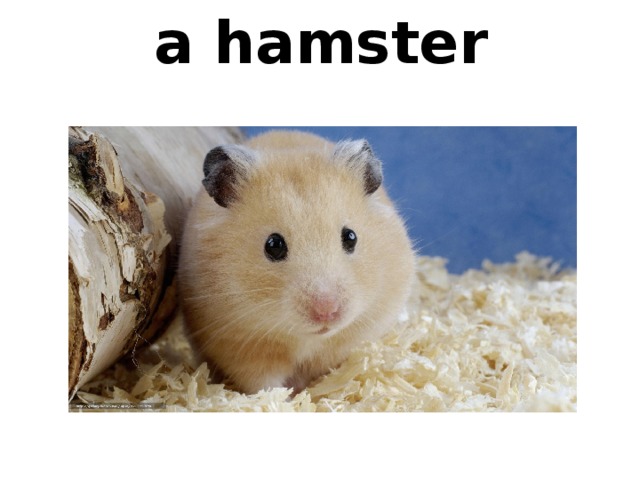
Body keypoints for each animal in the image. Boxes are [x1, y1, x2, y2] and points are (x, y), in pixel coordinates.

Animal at [178, 130, 415, 394]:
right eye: (273, 245)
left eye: (351, 237)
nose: (327, 312)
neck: (306, 338)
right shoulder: (240, 346)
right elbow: (264, 383)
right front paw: (287, 397)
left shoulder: (353, 336)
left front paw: (312, 390)